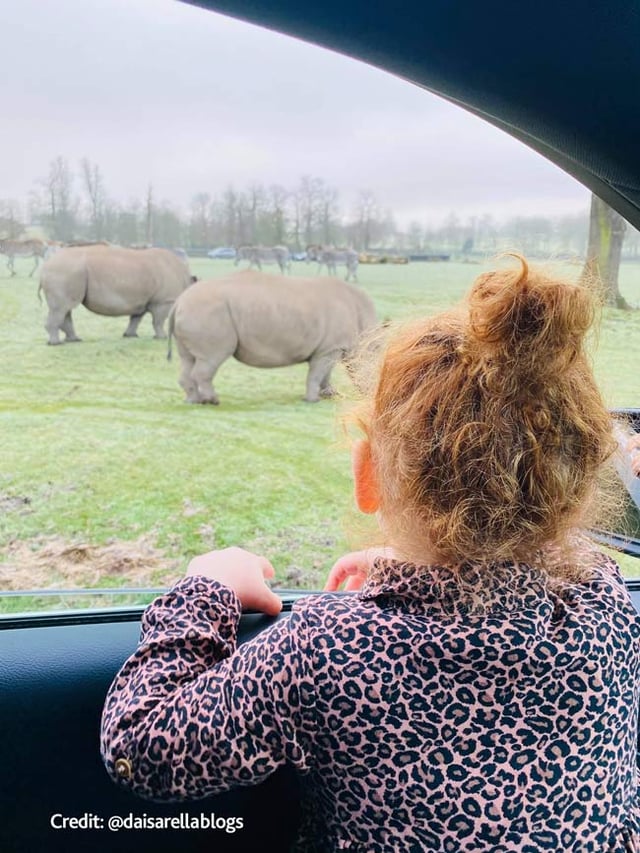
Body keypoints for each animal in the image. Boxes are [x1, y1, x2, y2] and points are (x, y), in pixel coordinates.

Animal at [39, 245, 193, 344]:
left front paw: (130, 335)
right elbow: (159, 321)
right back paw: (56, 343)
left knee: (65, 308)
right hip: (64, 270)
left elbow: (136, 318)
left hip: (66, 270)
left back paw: (74, 340)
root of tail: (46, 265)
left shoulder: (142, 301)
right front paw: (162, 337)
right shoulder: (164, 301)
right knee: (61, 308)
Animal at [168, 269, 377, 404]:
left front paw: (329, 395)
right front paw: (312, 400)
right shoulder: (330, 347)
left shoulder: (330, 347)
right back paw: (212, 401)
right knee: (211, 358)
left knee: (187, 358)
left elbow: (325, 373)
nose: (372, 395)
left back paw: (192, 401)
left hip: (194, 311)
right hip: (206, 312)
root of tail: (178, 302)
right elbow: (317, 373)